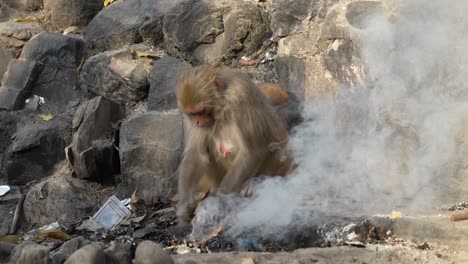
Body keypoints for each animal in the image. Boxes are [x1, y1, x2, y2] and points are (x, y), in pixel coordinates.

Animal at [174, 65, 294, 224]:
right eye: (192, 114)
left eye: (201, 111)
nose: (197, 122)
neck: (222, 103)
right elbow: (197, 154)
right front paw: (184, 206)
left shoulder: (241, 97)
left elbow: (252, 151)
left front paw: (219, 204)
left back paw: (253, 183)